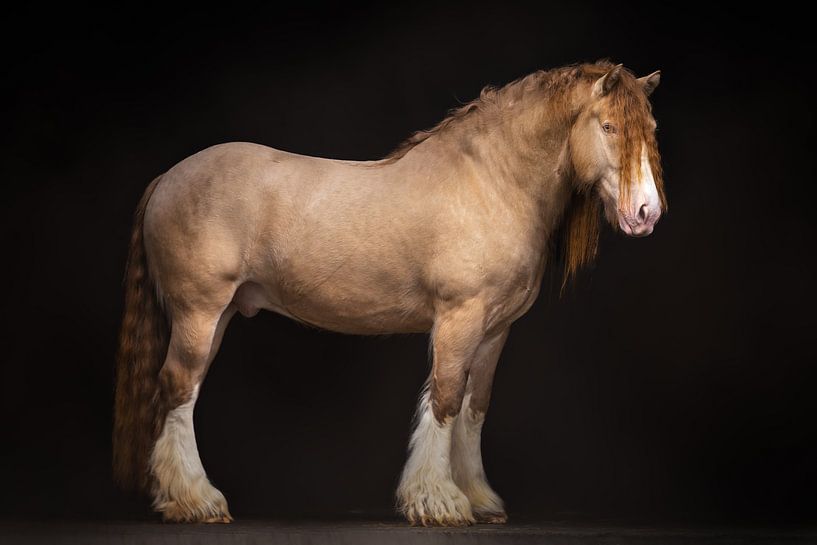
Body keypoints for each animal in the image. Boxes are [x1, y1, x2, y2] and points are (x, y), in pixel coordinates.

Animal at [113, 61, 666, 527]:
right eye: (610, 127)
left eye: (651, 130)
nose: (646, 213)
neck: (492, 182)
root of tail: (168, 177)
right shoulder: (459, 319)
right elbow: (445, 398)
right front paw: (439, 501)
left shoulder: (495, 330)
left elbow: (475, 406)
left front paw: (479, 498)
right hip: (199, 312)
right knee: (179, 388)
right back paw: (197, 500)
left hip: (220, 314)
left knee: (182, 390)